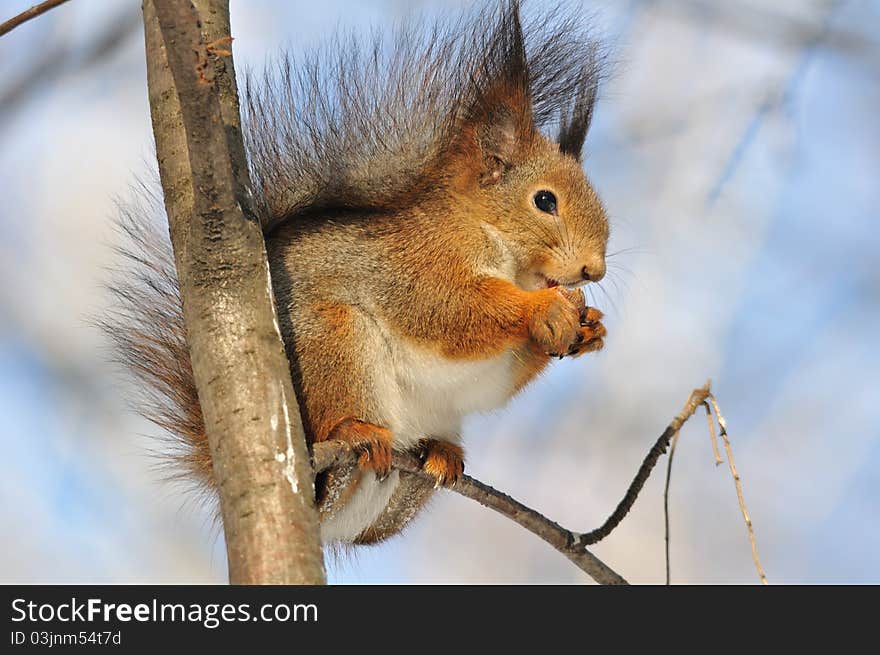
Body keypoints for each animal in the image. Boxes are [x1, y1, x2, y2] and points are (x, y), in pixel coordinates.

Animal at [106, 1, 608, 544]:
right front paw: (544, 308)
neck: (484, 231)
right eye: (545, 201)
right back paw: (356, 432)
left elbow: (496, 378)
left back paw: (438, 457)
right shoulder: (415, 262)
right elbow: (447, 310)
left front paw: (589, 327)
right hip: (333, 344)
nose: (595, 270)